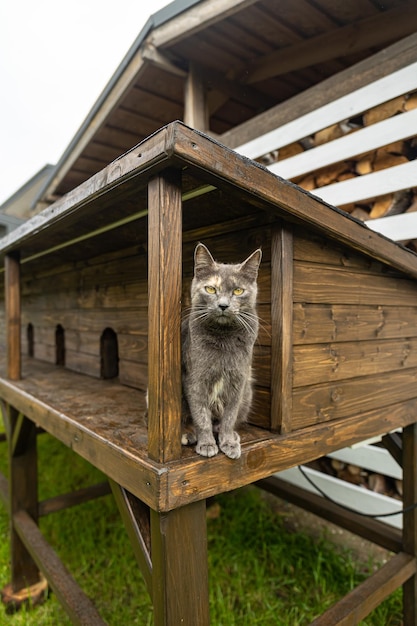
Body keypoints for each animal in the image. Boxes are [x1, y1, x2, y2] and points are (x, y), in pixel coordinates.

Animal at [181, 241, 260, 456]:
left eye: (238, 291)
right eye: (210, 289)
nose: (223, 305)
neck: (223, 338)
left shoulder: (238, 381)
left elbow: (229, 417)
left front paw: (228, 442)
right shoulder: (196, 380)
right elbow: (201, 415)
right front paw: (207, 444)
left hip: (248, 393)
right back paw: (188, 434)